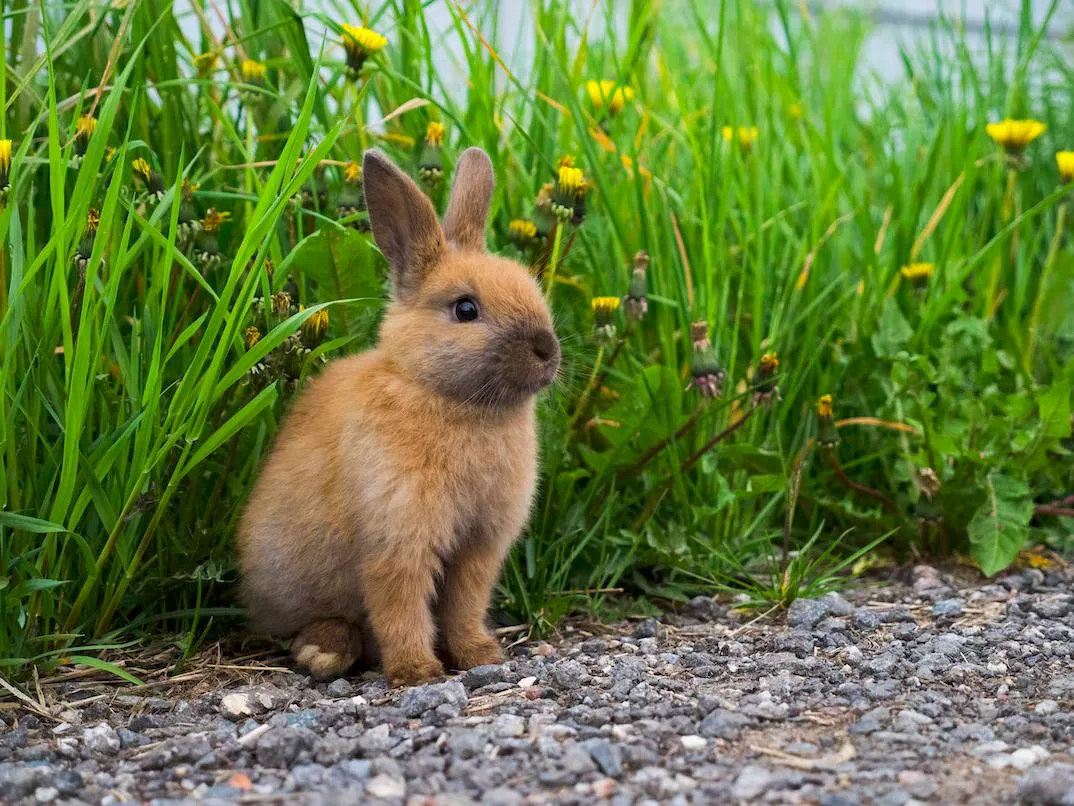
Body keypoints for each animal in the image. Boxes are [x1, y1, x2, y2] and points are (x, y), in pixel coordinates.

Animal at [237, 147, 562, 687]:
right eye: (466, 309)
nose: (547, 349)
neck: (444, 396)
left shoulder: (478, 548)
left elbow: (464, 605)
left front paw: (481, 655)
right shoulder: (397, 539)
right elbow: (400, 606)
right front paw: (416, 671)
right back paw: (323, 651)